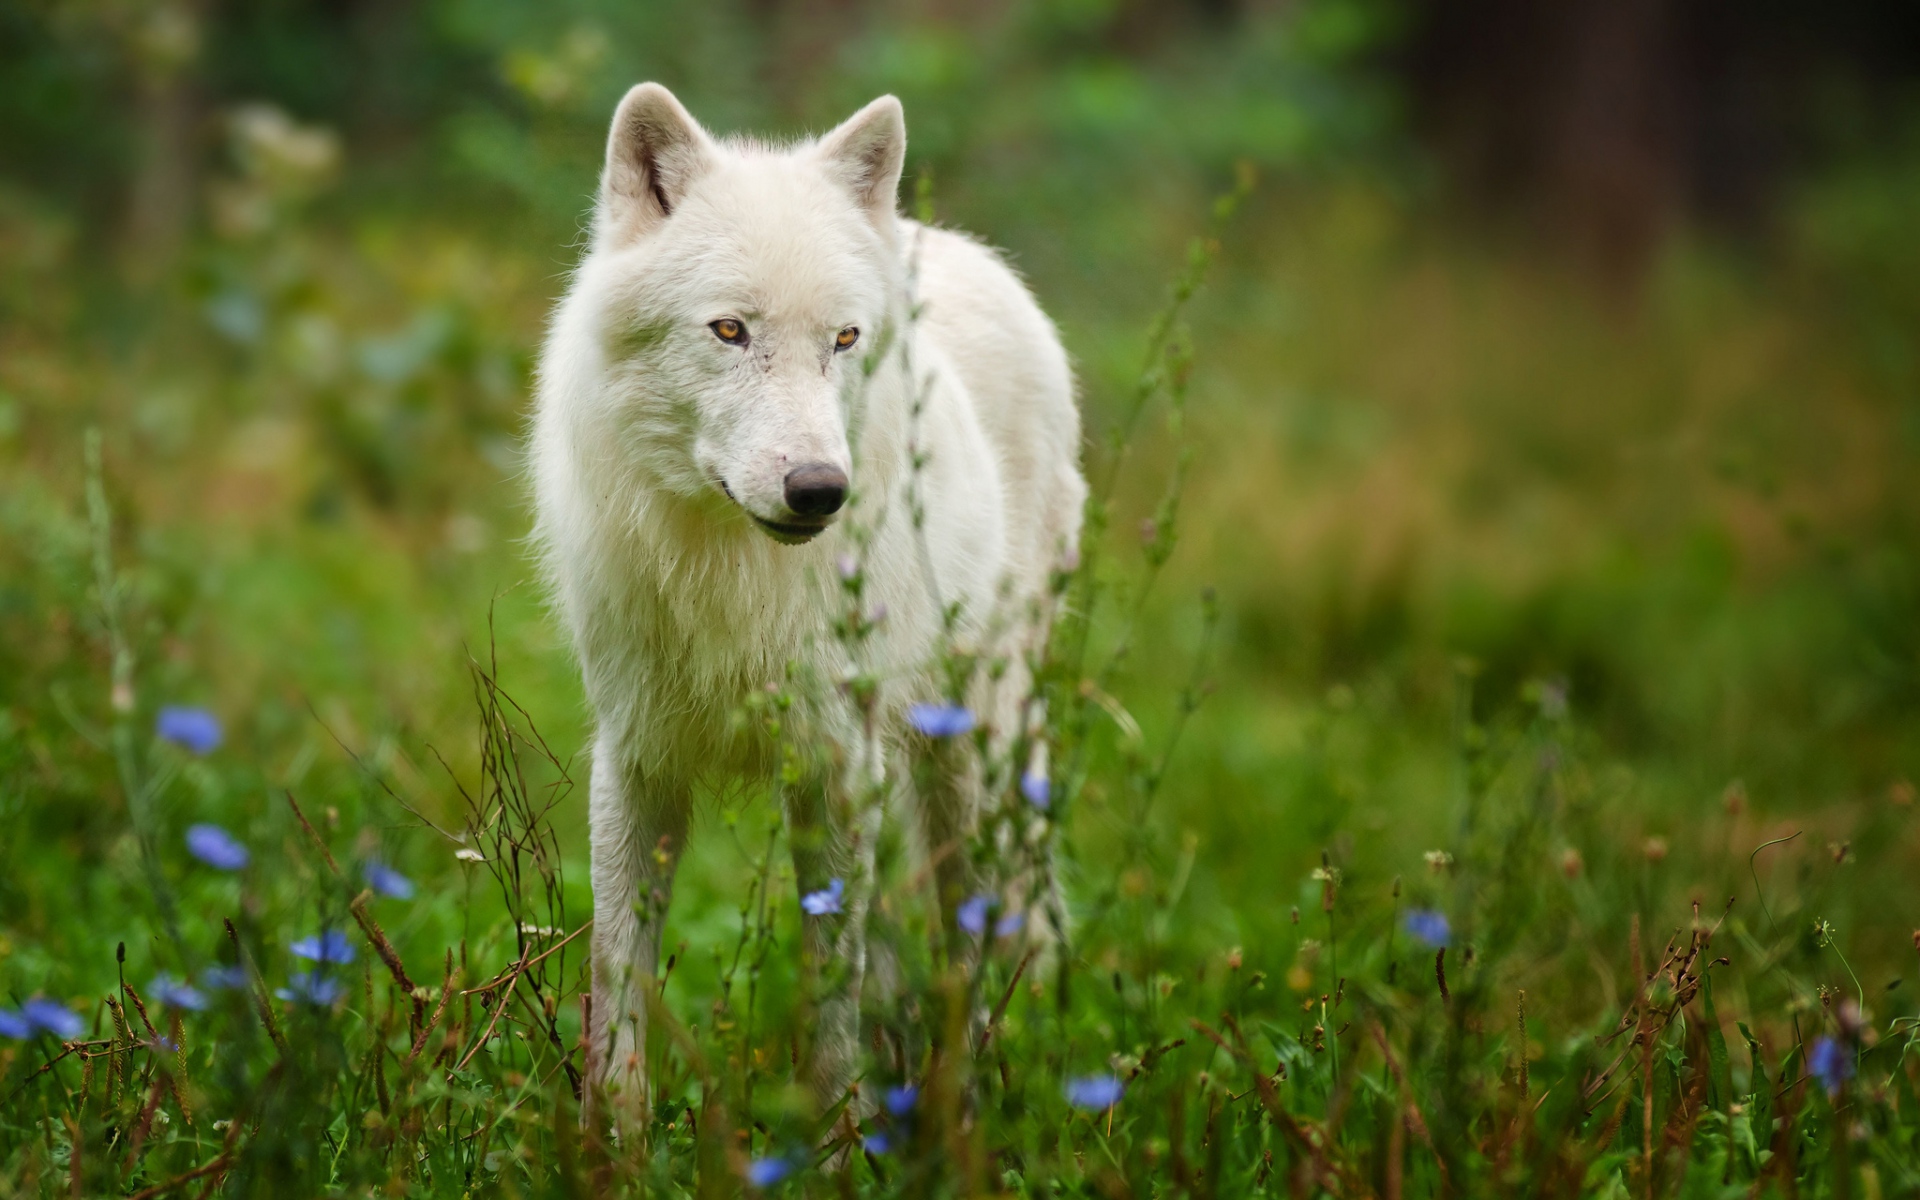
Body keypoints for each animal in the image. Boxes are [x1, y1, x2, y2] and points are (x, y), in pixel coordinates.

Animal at [533, 82, 1090, 1113]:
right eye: (730, 330)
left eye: (843, 339)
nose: (819, 491)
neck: (730, 574)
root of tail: (945, 239)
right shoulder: (636, 759)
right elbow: (618, 976)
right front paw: (611, 1138)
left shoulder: (836, 762)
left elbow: (832, 991)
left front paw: (838, 1130)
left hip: (972, 760)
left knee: (977, 933)